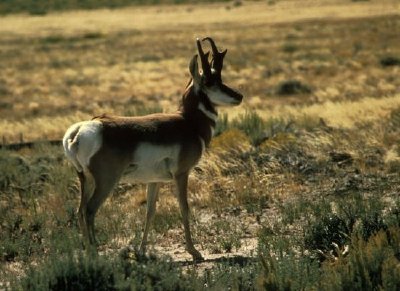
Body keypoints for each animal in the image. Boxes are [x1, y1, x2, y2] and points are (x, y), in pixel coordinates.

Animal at [63, 37, 244, 262]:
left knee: (79, 211)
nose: (239, 96)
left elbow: (150, 212)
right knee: (89, 210)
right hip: (106, 181)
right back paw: (96, 254)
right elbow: (184, 207)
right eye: (211, 82)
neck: (188, 122)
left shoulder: (154, 180)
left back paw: (89, 253)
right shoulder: (181, 174)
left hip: (85, 179)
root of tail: (80, 130)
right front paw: (194, 252)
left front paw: (141, 251)